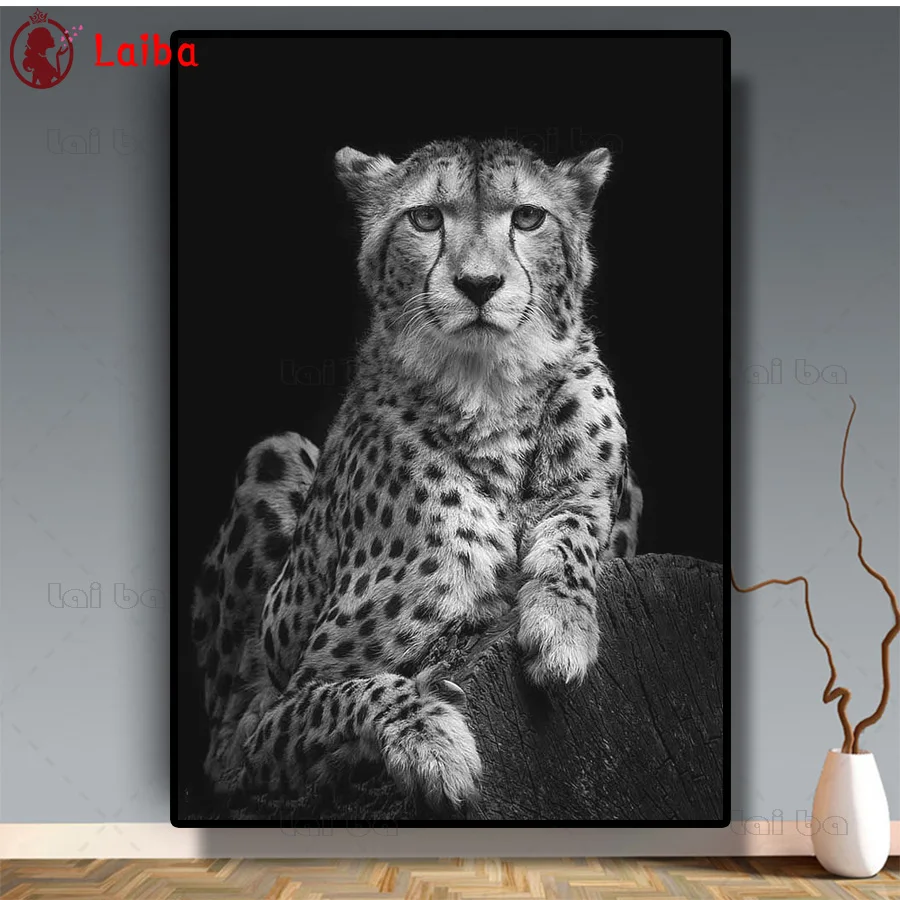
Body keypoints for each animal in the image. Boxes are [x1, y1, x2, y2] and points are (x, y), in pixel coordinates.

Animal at [190, 137, 643, 813]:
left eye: (528, 217)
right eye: (426, 218)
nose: (479, 285)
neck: (488, 392)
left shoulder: (600, 499)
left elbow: (575, 523)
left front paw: (561, 625)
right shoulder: (270, 719)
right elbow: (351, 694)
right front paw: (430, 738)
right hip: (276, 450)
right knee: (224, 748)